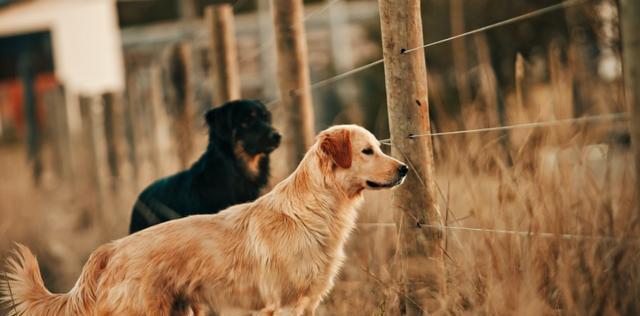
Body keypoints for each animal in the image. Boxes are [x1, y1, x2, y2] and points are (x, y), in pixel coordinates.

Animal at [0, 124, 408, 314]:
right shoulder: (283, 305)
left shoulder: (306, 304)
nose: (404, 169)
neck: (313, 209)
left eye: (379, 147)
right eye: (367, 151)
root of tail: (110, 250)